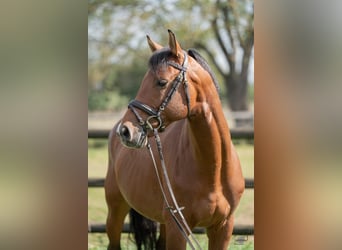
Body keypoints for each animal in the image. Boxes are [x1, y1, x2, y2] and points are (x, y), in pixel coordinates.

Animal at [105, 30, 244, 249]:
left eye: (161, 82)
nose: (126, 131)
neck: (214, 169)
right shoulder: (178, 229)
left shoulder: (223, 227)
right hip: (116, 210)